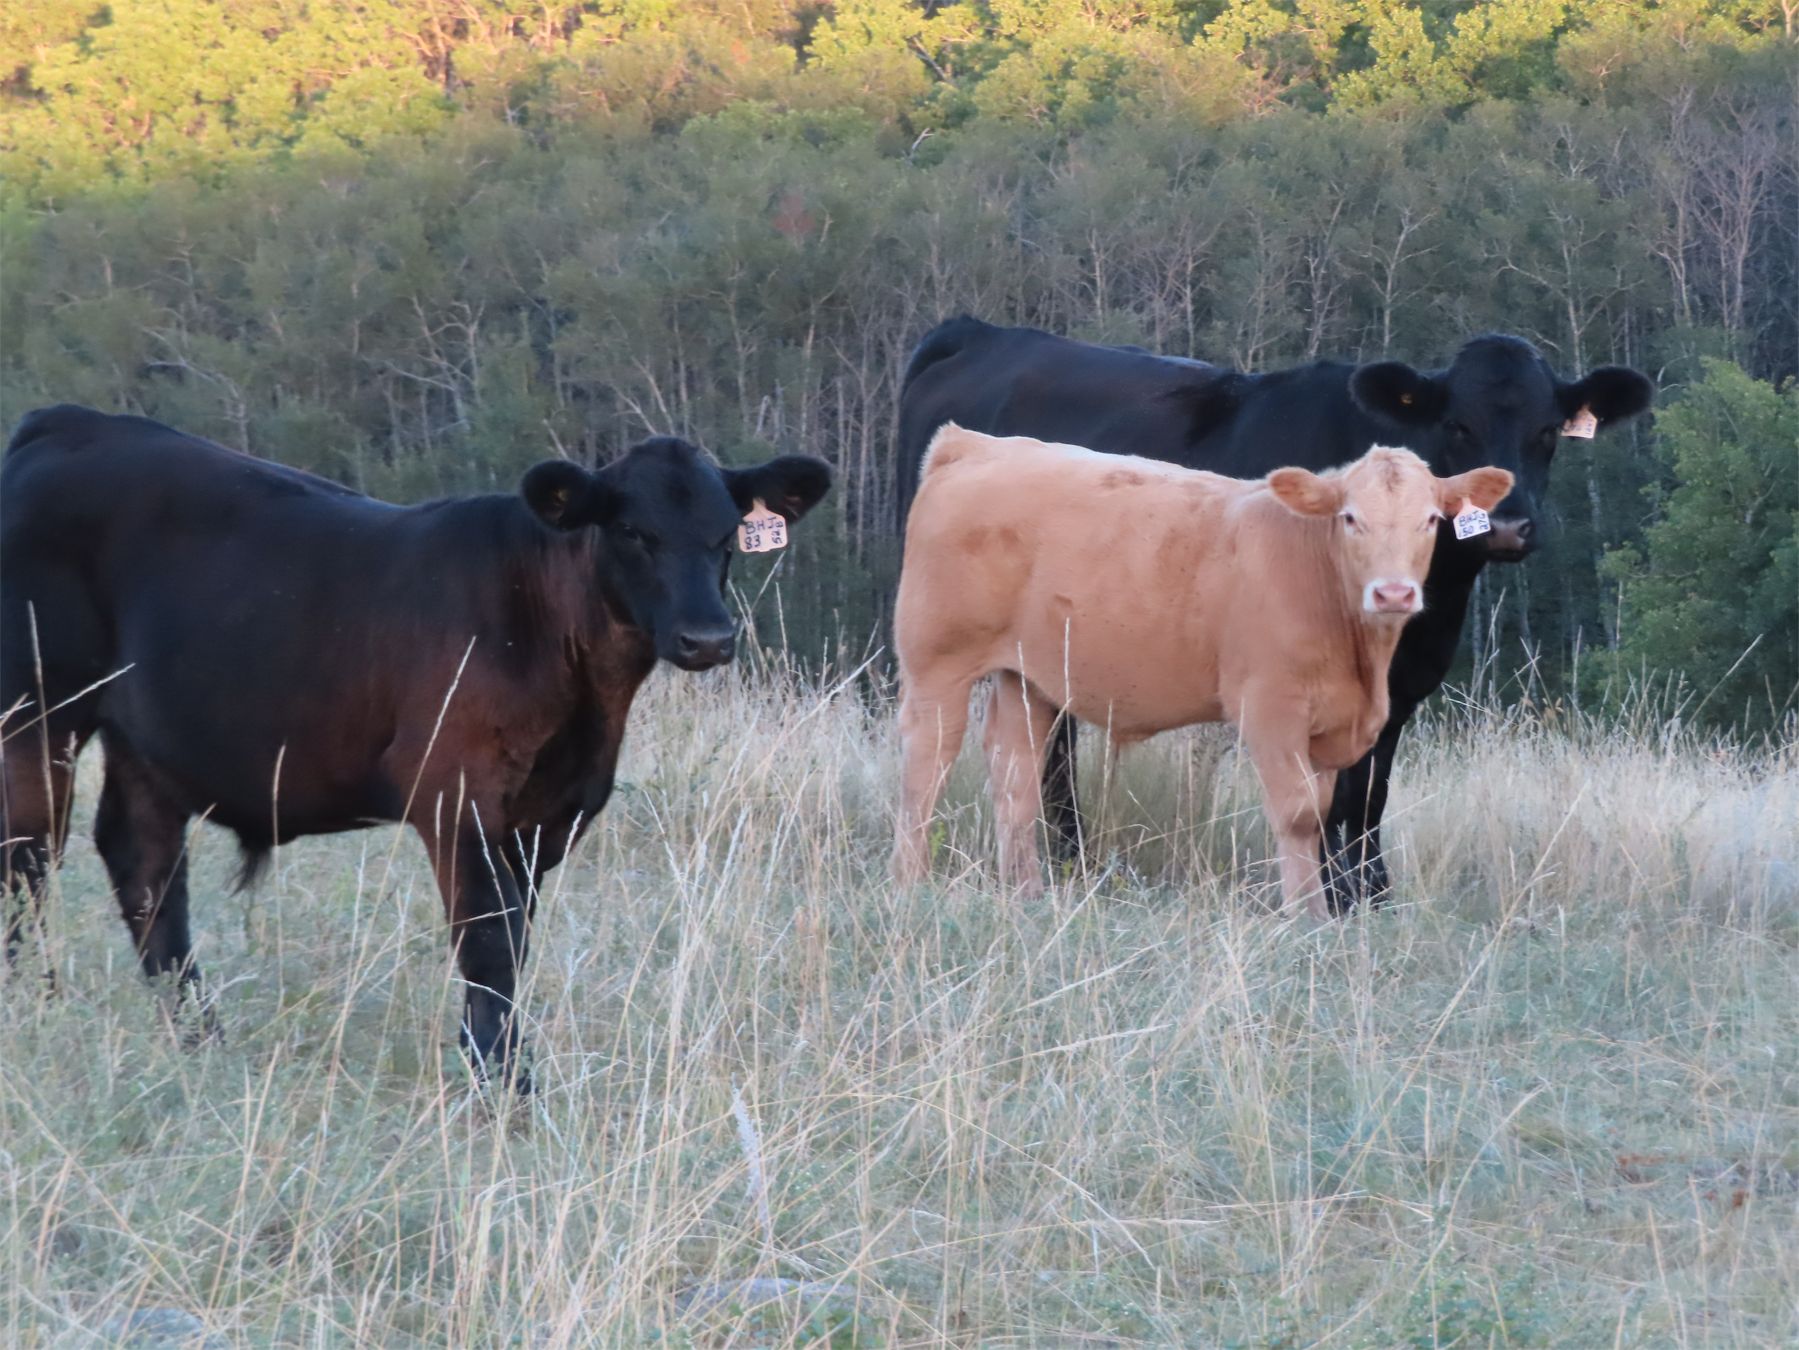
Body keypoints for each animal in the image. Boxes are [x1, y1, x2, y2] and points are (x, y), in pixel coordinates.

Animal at [0, 405, 832, 1091]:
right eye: (633, 531)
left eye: (726, 535)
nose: (707, 638)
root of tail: (67, 423)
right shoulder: (454, 790)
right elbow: (487, 941)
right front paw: (504, 1083)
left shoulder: (545, 815)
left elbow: (512, 940)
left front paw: (490, 1060)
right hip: (35, 709)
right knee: (28, 857)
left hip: (142, 738)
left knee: (144, 864)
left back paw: (200, 1039)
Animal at [891, 427, 1513, 916]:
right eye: (1350, 518)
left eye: (1430, 520)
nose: (1393, 593)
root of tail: (974, 445)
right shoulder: (1270, 707)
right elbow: (1298, 814)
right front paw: (1306, 916)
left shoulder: (1330, 726)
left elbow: (1324, 812)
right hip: (936, 663)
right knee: (926, 766)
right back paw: (912, 883)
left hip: (1028, 676)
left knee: (1014, 773)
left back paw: (1025, 894)